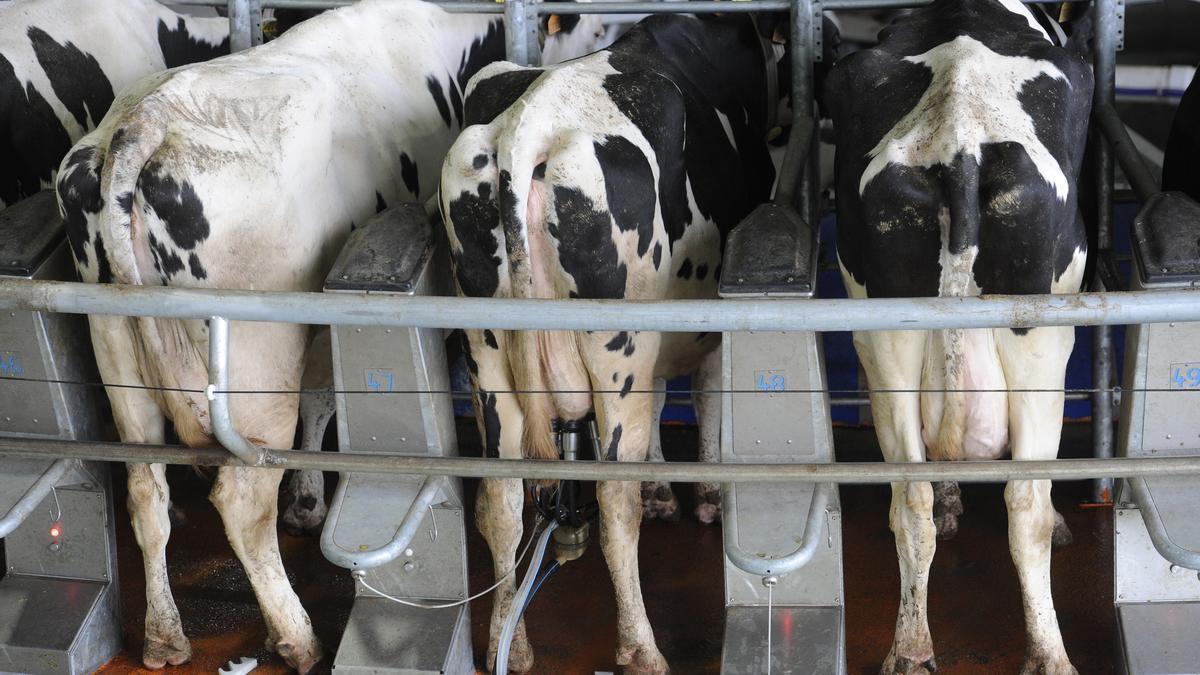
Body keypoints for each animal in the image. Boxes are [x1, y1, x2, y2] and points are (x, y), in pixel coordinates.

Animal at [52, 0, 600, 667]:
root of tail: (143, 123)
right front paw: (309, 504)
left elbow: (319, 397)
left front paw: (307, 499)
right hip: (255, 368)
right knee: (241, 503)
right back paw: (295, 635)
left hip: (116, 352)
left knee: (143, 489)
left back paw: (164, 636)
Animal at [441, 13, 787, 667]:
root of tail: (528, 125)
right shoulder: (705, 323)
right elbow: (704, 396)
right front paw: (703, 491)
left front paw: (662, 486)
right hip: (616, 351)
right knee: (613, 506)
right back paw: (641, 647)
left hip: (488, 354)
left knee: (501, 502)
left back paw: (509, 644)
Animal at [825, 0, 1099, 667]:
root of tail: (958, 139)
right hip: (1043, 346)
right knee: (1025, 507)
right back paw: (1050, 655)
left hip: (886, 346)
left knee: (911, 501)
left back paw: (909, 648)